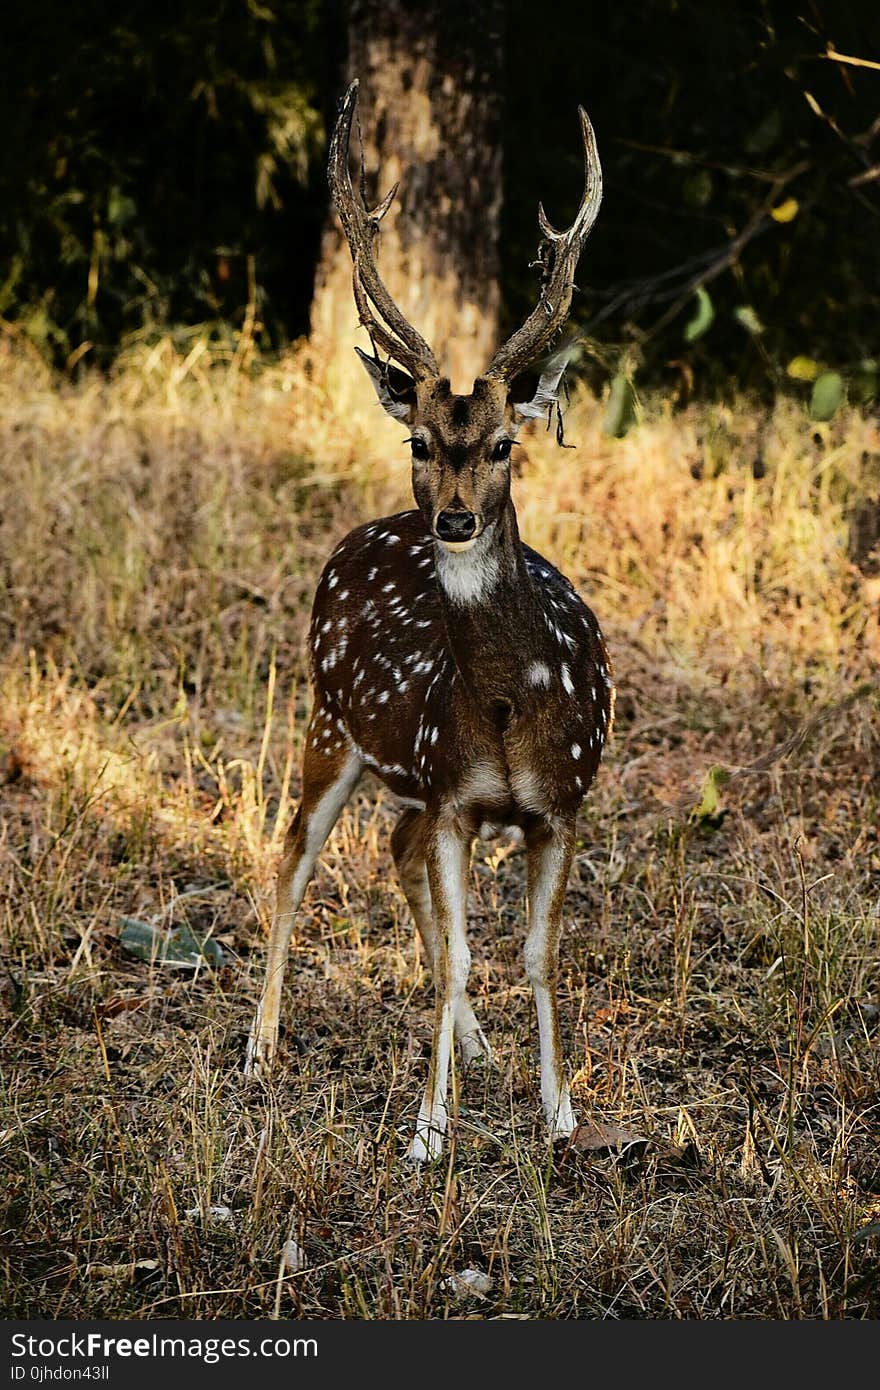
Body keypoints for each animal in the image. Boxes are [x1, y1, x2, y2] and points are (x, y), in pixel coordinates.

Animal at [243, 78, 614, 1162]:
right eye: (417, 438)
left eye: (501, 444)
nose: (451, 519)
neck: (507, 711)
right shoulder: (454, 793)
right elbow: (456, 957)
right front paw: (427, 1130)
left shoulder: (558, 803)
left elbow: (533, 956)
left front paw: (559, 1112)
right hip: (329, 718)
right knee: (292, 858)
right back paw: (260, 1045)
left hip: (398, 770)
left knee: (391, 853)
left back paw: (481, 1046)